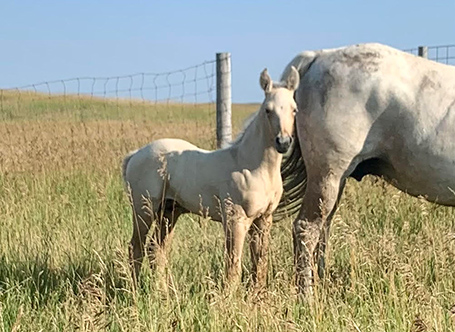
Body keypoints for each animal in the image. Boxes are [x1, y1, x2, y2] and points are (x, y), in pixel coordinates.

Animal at [123, 67, 302, 288]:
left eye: (294, 110)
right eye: (268, 110)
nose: (283, 142)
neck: (251, 166)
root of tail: (135, 155)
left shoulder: (263, 219)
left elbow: (260, 265)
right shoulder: (235, 220)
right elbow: (233, 267)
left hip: (168, 212)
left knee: (155, 250)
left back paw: (161, 291)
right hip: (144, 209)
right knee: (136, 248)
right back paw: (135, 290)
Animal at [278, 42, 455, 294]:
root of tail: (320, 55)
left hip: (335, 181)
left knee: (323, 230)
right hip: (328, 175)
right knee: (306, 229)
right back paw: (307, 294)